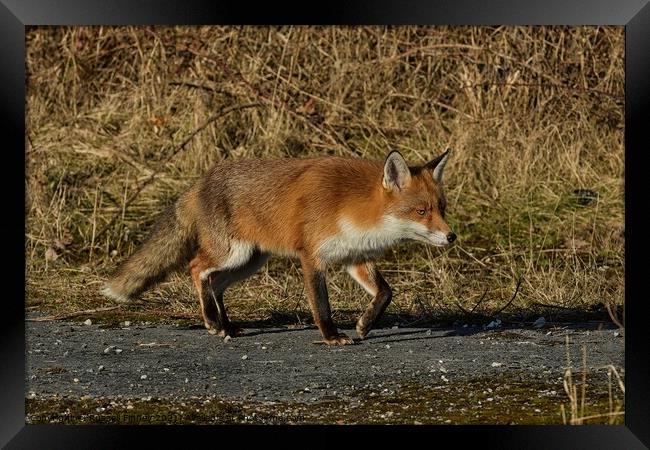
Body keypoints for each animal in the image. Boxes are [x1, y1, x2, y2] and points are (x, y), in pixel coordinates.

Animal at [102, 149, 456, 346]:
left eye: (441, 208)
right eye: (421, 211)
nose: (451, 236)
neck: (354, 208)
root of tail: (200, 181)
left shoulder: (354, 257)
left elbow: (385, 293)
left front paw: (365, 325)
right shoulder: (312, 257)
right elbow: (321, 306)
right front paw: (331, 337)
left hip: (249, 261)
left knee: (215, 284)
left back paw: (228, 326)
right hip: (230, 253)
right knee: (196, 268)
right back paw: (213, 323)